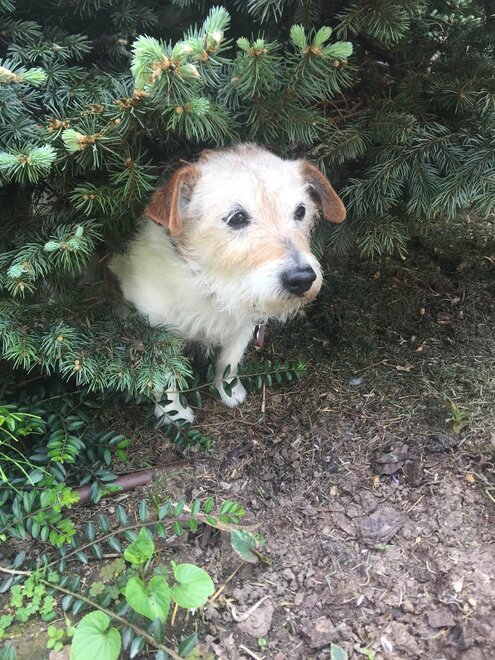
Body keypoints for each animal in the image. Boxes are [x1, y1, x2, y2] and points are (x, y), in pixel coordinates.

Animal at [110, 143, 346, 423]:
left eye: (301, 211)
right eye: (237, 217)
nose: (302, 279)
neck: (213, 283)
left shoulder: (244, 326)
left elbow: (229, 362)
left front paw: (229, 391)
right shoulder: (157, 335)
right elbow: (166, 376)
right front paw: (174, 413)